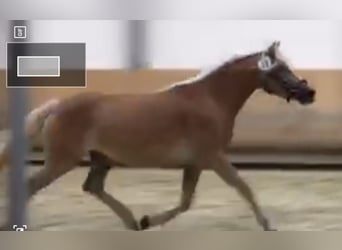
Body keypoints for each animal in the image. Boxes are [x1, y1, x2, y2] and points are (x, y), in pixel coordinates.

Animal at [0, 41, 316, 230]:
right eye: (280, 70)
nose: (309, 93)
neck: (210, 100)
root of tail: (57, 106)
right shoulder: (213, 157)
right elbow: (242, 187)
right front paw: (267, 224)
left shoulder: (195, 163)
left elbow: (186, 202)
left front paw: (148, 219)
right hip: (63, 160)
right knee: (31, 186)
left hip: (101, 159)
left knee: (93, 187)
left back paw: (133, 222)